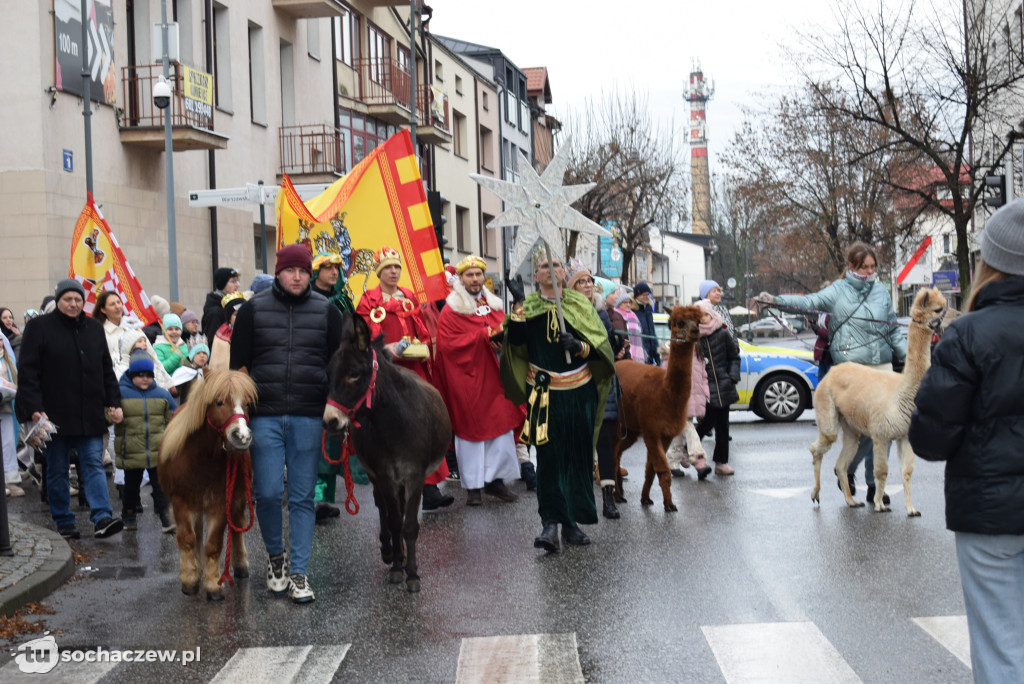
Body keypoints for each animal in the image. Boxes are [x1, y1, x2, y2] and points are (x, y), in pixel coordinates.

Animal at [158, 370, 260, 602]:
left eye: (247, 403)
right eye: (219, 402)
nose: (242, 437)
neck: (201, 459)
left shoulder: (220, 503)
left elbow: (214, 545)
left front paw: (213, 585)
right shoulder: (181, 501)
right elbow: (187, 539)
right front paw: (190, 580)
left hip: (239, 498)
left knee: (237, 527)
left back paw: (240, 565)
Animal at [323, 313, 452, 589]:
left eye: (353, 374)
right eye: (328, 373)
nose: (330, 421)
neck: (394, 423)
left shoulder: (414, 475)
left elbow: (409, 524)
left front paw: (412, 574)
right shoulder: (384, 475)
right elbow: (393, 521)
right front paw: (396, 566)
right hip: (376, 476)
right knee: (382, 507)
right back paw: (389, 551)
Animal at [606, 307, 704, 509]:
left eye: (698, 321)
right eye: (679, 322)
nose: (695, 331)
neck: (664, 393)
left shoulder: (666, 432)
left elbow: (651, 468)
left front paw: (646, 498)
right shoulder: (651, 429)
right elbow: (662, 468)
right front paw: (670, 505)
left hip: (631, 429)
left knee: (618, 453)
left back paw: (620, 494)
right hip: (616, 422)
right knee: (612, 453)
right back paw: (615, 493)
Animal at [811, 286, 946, 516]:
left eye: (944, 306)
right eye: (938, 309)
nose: (951, 318)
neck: (902, 394)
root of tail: (832, 371)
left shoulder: (905, 436)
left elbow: (907, 471)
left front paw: (911, 509)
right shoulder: (881, 435)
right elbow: (882, 471)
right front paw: (880, 504)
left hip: (850, 426)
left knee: (841, 464)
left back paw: (851, 500)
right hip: (826, 411)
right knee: (817, 448)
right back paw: (816, 494)